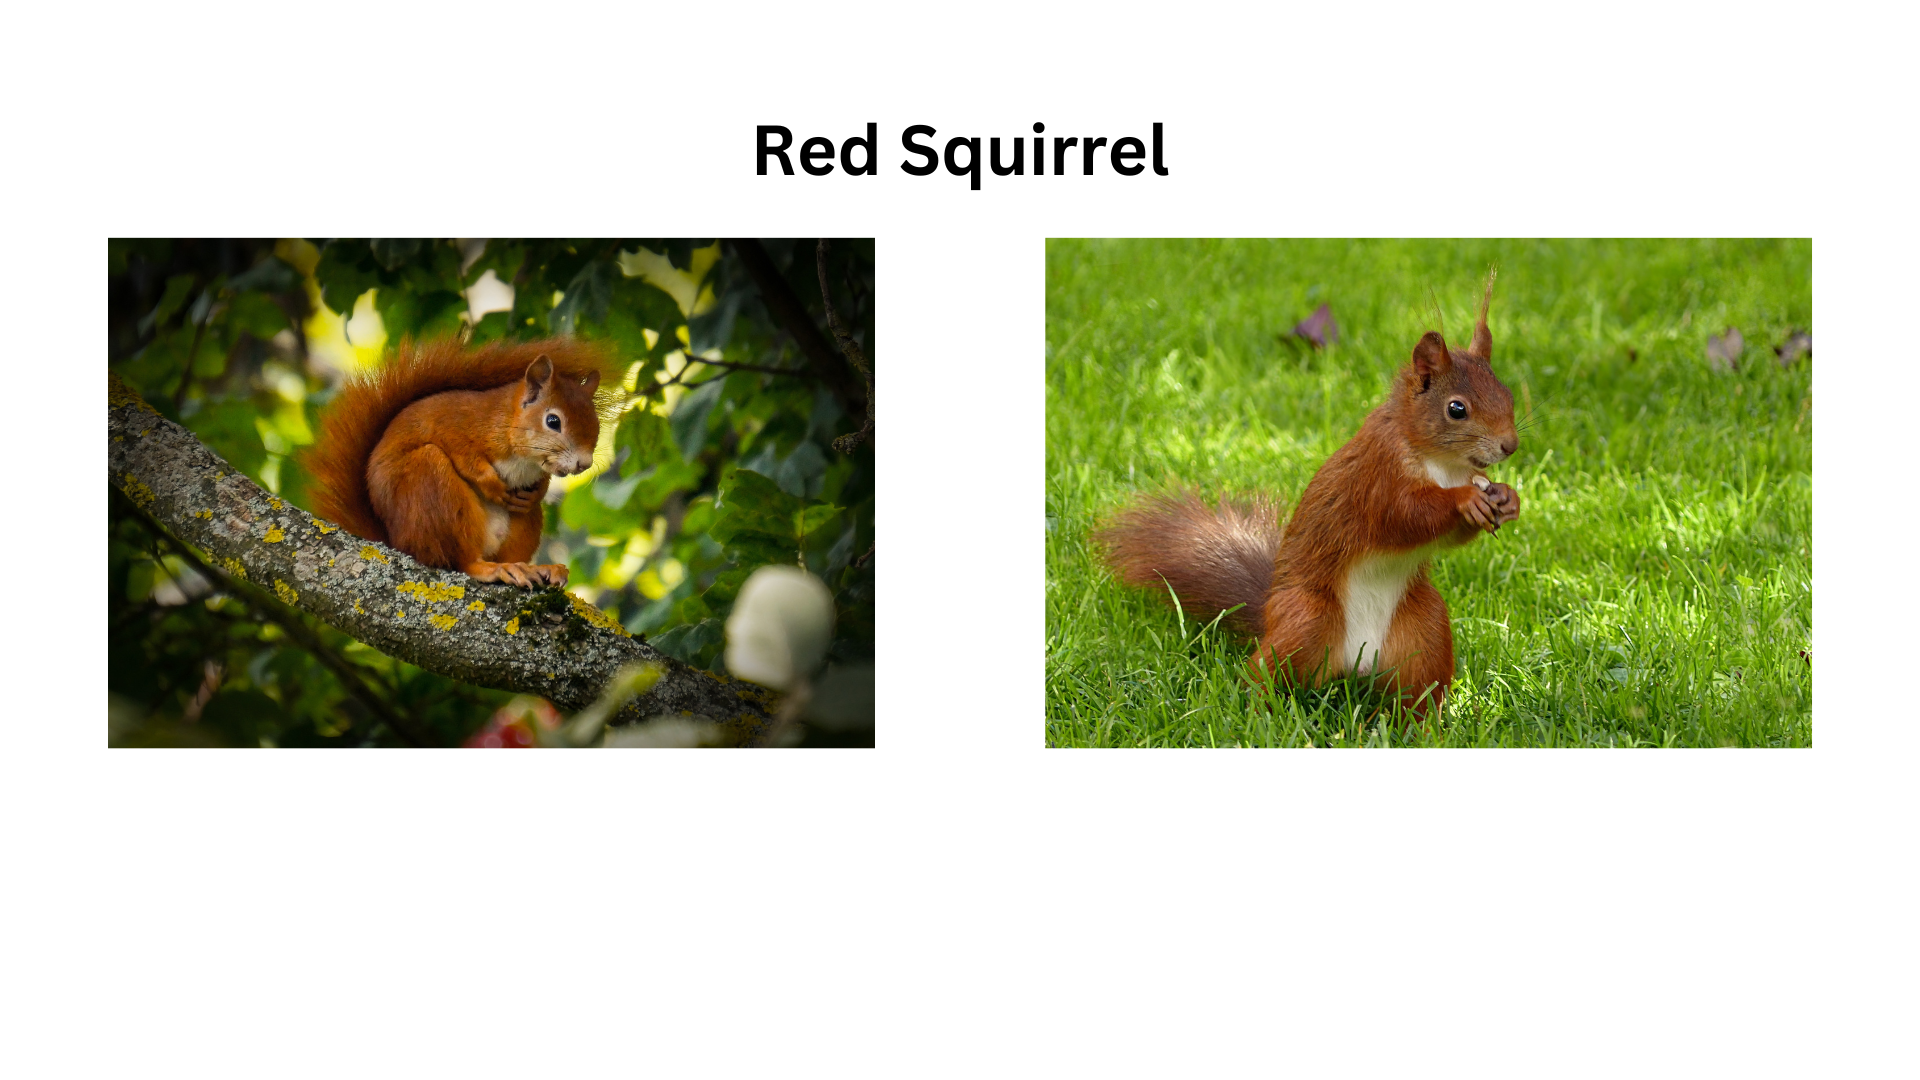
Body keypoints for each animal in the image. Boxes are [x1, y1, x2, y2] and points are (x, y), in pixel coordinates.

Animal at [302, 337, 620, 588]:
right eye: (553, 421)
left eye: (595, 424)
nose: (583, 463)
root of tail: (396, 541)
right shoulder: (450, 424)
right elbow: (465, 457)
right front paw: (491, 485)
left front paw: (536, 492)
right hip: (431, 487)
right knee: (459, 562)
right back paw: (492, 569)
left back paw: (535, 567)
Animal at [1097, 275, 1521, 716]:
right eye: (1456, 409)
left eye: (1508, 394)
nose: (1510, 445)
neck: (1442, 464)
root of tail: (1356, 662)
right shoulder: (1376, 477)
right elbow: (1404, 514)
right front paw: (1464, 501)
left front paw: (1508, 499)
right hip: (1307, 619)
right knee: (1266, 669)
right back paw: (1253, 709)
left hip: (1425, 629)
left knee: (1418, 689)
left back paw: (1426, 723)